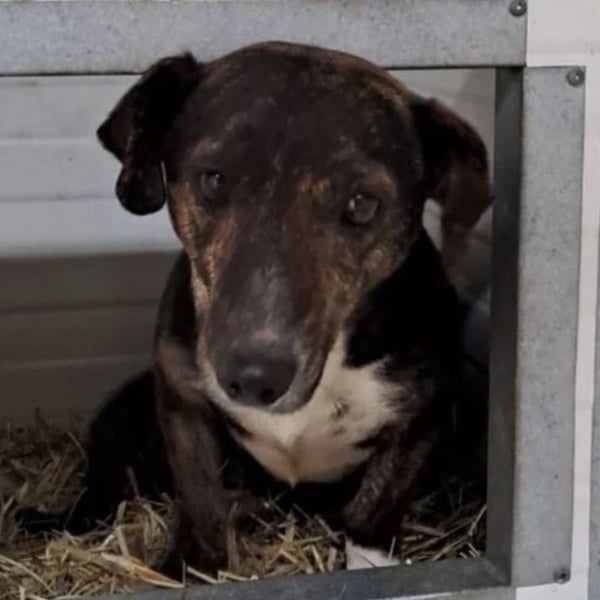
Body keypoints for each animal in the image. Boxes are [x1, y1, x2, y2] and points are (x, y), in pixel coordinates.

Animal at [19, 41, 491, 575]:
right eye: (213, 179)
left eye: (362, 203)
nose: (252, 377)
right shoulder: (182, 405)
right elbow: (201, 501)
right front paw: (192, 567)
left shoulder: (419, 419)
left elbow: (374, 512)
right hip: (119, 418)